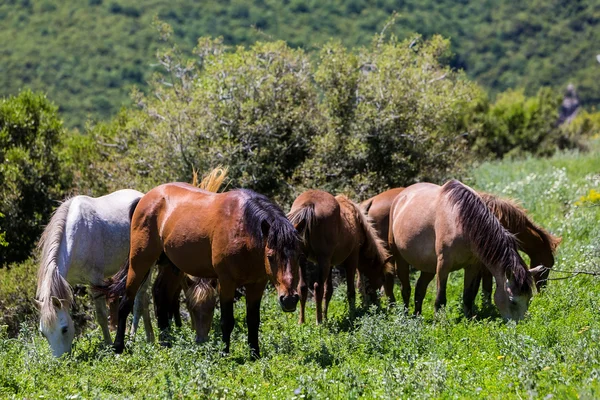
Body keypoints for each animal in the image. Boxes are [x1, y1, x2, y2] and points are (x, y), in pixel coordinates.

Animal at [35, 189, 155, 358]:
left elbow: (102, 316)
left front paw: (109, 346)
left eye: (64, 329)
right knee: (143, 302)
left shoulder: (95, 280)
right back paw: (150, 338)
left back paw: (134, 339)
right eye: (43, 333)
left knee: (139, 303)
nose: (60, 361)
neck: (78, 236)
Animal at [108, 186, 300, 358]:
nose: (289, 300)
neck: (242, 228)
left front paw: (255, 356)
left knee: (160, 294)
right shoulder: (226, 283)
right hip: (139, 262)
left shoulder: (257, 285)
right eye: (270, 256)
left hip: (171, 266)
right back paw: (118, 347)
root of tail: (145, 198)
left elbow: (253, 320)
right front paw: (225, 354)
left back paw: (165, 343)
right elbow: (227, 321)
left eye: (299, 254)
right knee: (126, 302)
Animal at [288, 189, 392, 324]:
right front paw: (353, 315)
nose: (374, 303)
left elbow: (329, 291)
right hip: (323, 260)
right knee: (317, 287)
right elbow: (351, 290)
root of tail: (309, 204)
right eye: (383, 279)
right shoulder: (352, 259)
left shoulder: (330, 264)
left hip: (303, 259)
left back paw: (302, 321)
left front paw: (326, 317)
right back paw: (318, 321)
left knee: (303, 287)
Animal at [386, 181, 540, 322]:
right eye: (513, 301)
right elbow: (440, 298)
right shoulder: (443, 265)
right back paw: (405, 317)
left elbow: (468, 296)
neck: (461, 222)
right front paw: (440, 322)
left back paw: (417, 316)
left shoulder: (472, 266)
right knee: (406, 289)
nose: (519, 325)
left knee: (420, 289)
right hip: (400, 260)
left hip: (428, 266)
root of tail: (401, 195)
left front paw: (468, 319)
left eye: (529, 298)